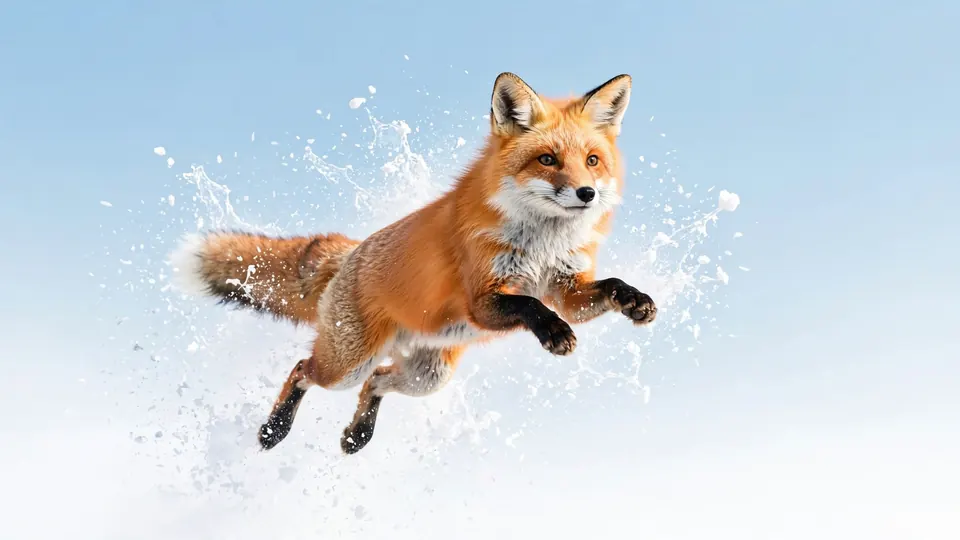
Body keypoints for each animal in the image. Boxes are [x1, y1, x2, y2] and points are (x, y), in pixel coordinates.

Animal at [168, 72, 657, 455]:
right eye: (547, 159)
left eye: (592, 161)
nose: (586, 194)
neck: (542, 244)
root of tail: (354, 251)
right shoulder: (483, 300)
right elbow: (531, 306)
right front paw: (554, 332)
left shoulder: (567, 286)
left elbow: (606, 286)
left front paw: (635, 300)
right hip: (346, 364)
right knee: (303, 369)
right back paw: (274, 430)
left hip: (428, 376)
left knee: (378, 379)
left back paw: (356, 434)